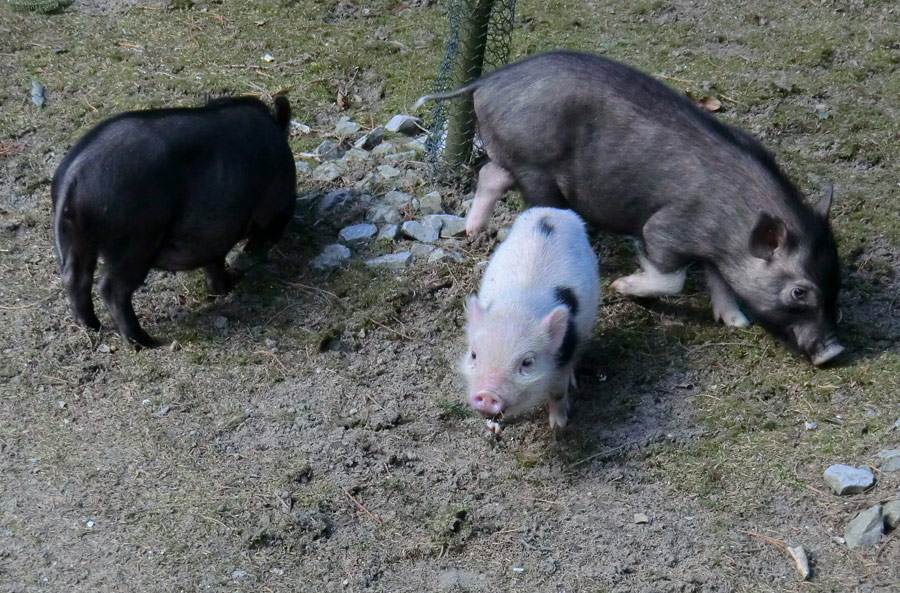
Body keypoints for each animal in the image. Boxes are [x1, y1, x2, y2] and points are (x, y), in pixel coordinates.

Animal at [51, 95, 296, 350]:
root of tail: (72, 178)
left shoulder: (213, 239)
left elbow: (214, 264)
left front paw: (224, 289)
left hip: (78, 241)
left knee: (74, 278)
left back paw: (91, 326)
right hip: (134, 243)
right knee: (111, 288)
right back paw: (144, 343)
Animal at [418, 52, 848, 366]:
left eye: (836, 280)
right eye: (799, 292)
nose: (834, 352)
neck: (733, 225)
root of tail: (487, 80)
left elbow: (720, 281)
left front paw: (736, 322)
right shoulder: (664, 229)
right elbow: (670, 277)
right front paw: (622, 287)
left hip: (515, 160)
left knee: (490, 173)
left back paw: (472, 230)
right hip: (535, 170)